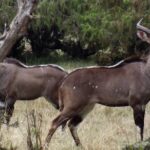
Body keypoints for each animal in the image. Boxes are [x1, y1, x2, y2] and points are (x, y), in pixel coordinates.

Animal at [43, 19, 150, 149]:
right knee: (55, 122)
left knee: (71, 124)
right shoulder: (136, 103)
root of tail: (64, 81)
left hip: (86, 107)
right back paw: (45, 146)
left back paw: (81, 146)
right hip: (73, 106)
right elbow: (140, 129)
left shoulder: (143, 104)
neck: (145, 71)